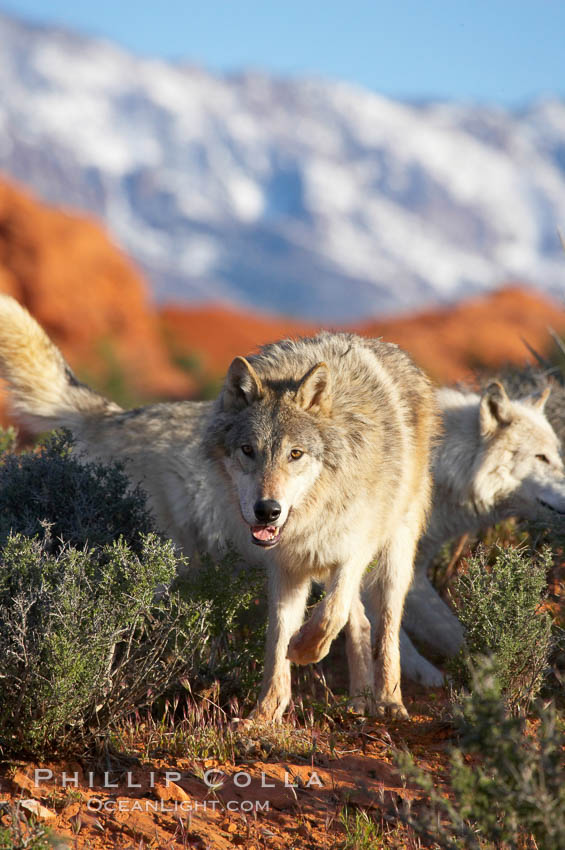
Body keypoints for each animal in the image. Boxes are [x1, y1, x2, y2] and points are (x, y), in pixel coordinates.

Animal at [0, 294, 436, 720]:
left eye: (295, 454)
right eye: (248, 450)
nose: (267, 510)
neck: (314, 510)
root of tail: (111, 416)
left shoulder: (352, 549)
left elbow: (330, 614)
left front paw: (304, 652)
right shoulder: (286, 565)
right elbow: (278, 639)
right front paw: (264, 713)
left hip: (394, 556)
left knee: (381, 624)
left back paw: (388, 702)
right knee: (358, 621)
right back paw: (360, 700)